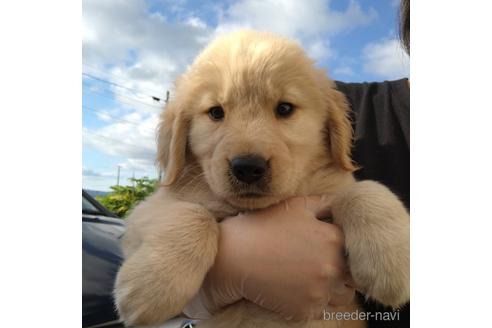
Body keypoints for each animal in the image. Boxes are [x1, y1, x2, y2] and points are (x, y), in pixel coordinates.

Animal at [113, 30, 410, 328]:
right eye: (216, 112)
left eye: (285, 108)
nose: (247, 167)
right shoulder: (148, 210)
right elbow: (192, 215)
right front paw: (151, 287)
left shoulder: (334, 188)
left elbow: (366, 190)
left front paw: (393, 264)